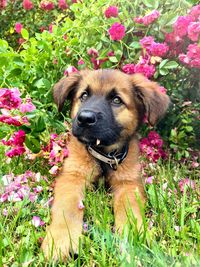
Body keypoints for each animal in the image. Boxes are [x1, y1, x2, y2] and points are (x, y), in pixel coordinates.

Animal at [41, 68, 170, 260]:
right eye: (84, 95)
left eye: (117, 100)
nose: (85, 118)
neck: (103, 155)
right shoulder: (72, 176)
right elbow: (67, 207)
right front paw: (60, 239)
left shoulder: (128, 183)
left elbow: (129, 209)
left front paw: (132, 237)